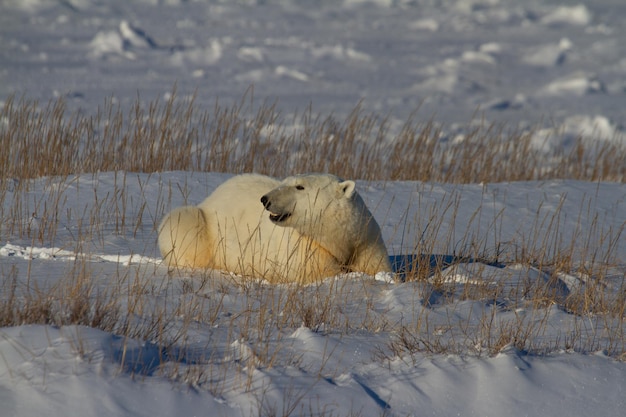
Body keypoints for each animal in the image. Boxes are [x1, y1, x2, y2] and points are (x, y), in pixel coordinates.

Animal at [156, 172, 390, 282]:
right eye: (285, 181)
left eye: (299, 186)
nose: (265, 199)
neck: (340, 237)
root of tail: (210, 198)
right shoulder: (304, 247)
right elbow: (318, 273)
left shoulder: (366, 240)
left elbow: (376, 268)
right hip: (206, 226)